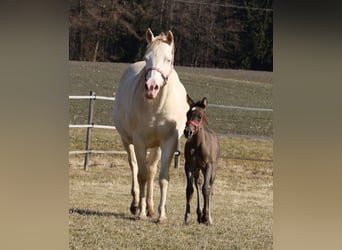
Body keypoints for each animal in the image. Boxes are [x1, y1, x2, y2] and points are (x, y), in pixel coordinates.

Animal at [113, 27, 188, 223]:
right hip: (127, 141)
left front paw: (160, 214)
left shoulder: (168, 142)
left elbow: (162, 177)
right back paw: (136, 205)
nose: (151, 87)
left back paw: (151, 207)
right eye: (147, 58)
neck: (157, 105)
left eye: (168, 59)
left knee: (152, 170)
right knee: (134, 166)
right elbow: (141, 175)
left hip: (156, 146)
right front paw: (140, 212)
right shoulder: (139, 141)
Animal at [183, 94, 220, 226]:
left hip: (213, 169)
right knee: (198, 183)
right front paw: (187, 218)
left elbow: (206, 189)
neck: (198, 145)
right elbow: (190, 190)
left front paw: (207, 218)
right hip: (198, 169)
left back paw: (208, 216)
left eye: (200, 117)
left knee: (210, 186)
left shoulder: (208, 166)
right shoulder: (189, 165)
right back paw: (199, 215)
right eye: (187, 114)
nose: (187, 132)